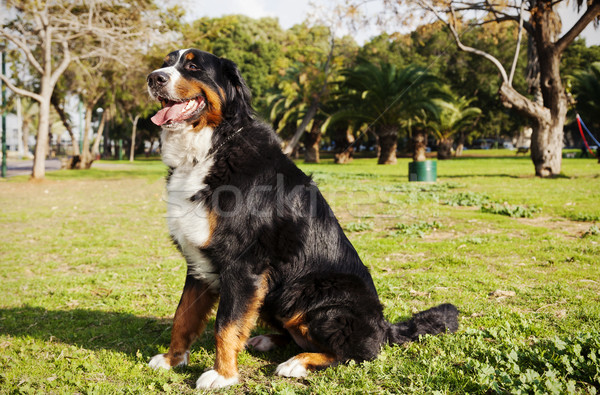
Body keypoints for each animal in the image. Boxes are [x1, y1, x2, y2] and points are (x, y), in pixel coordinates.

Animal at [146, 48, 460, 390]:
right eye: (167, 62)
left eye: (193, 66)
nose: (153, 78)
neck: (210, 149)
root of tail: (385, 325)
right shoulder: (199, 264)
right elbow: (183, 317)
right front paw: (172, 359)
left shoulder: (242, 265)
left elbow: (225, 325)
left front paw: (223, 375)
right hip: (274, 294)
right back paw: (267, 341)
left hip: (314, 296)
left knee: (355, 352)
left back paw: (297, 363)